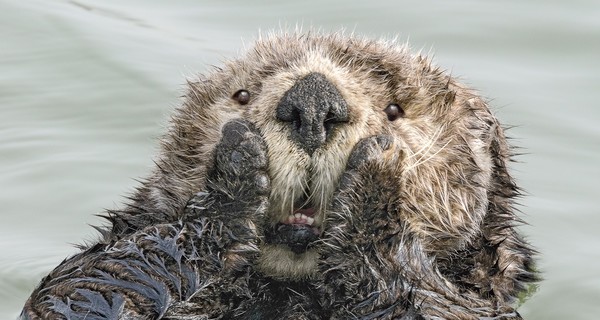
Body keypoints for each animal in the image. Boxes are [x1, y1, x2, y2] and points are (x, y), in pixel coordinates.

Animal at [19, 31, 540, 318]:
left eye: (395, 110)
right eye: (242, 96)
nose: (312, 102)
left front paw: (376, 177)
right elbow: (80, 291)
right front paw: (234, 173)